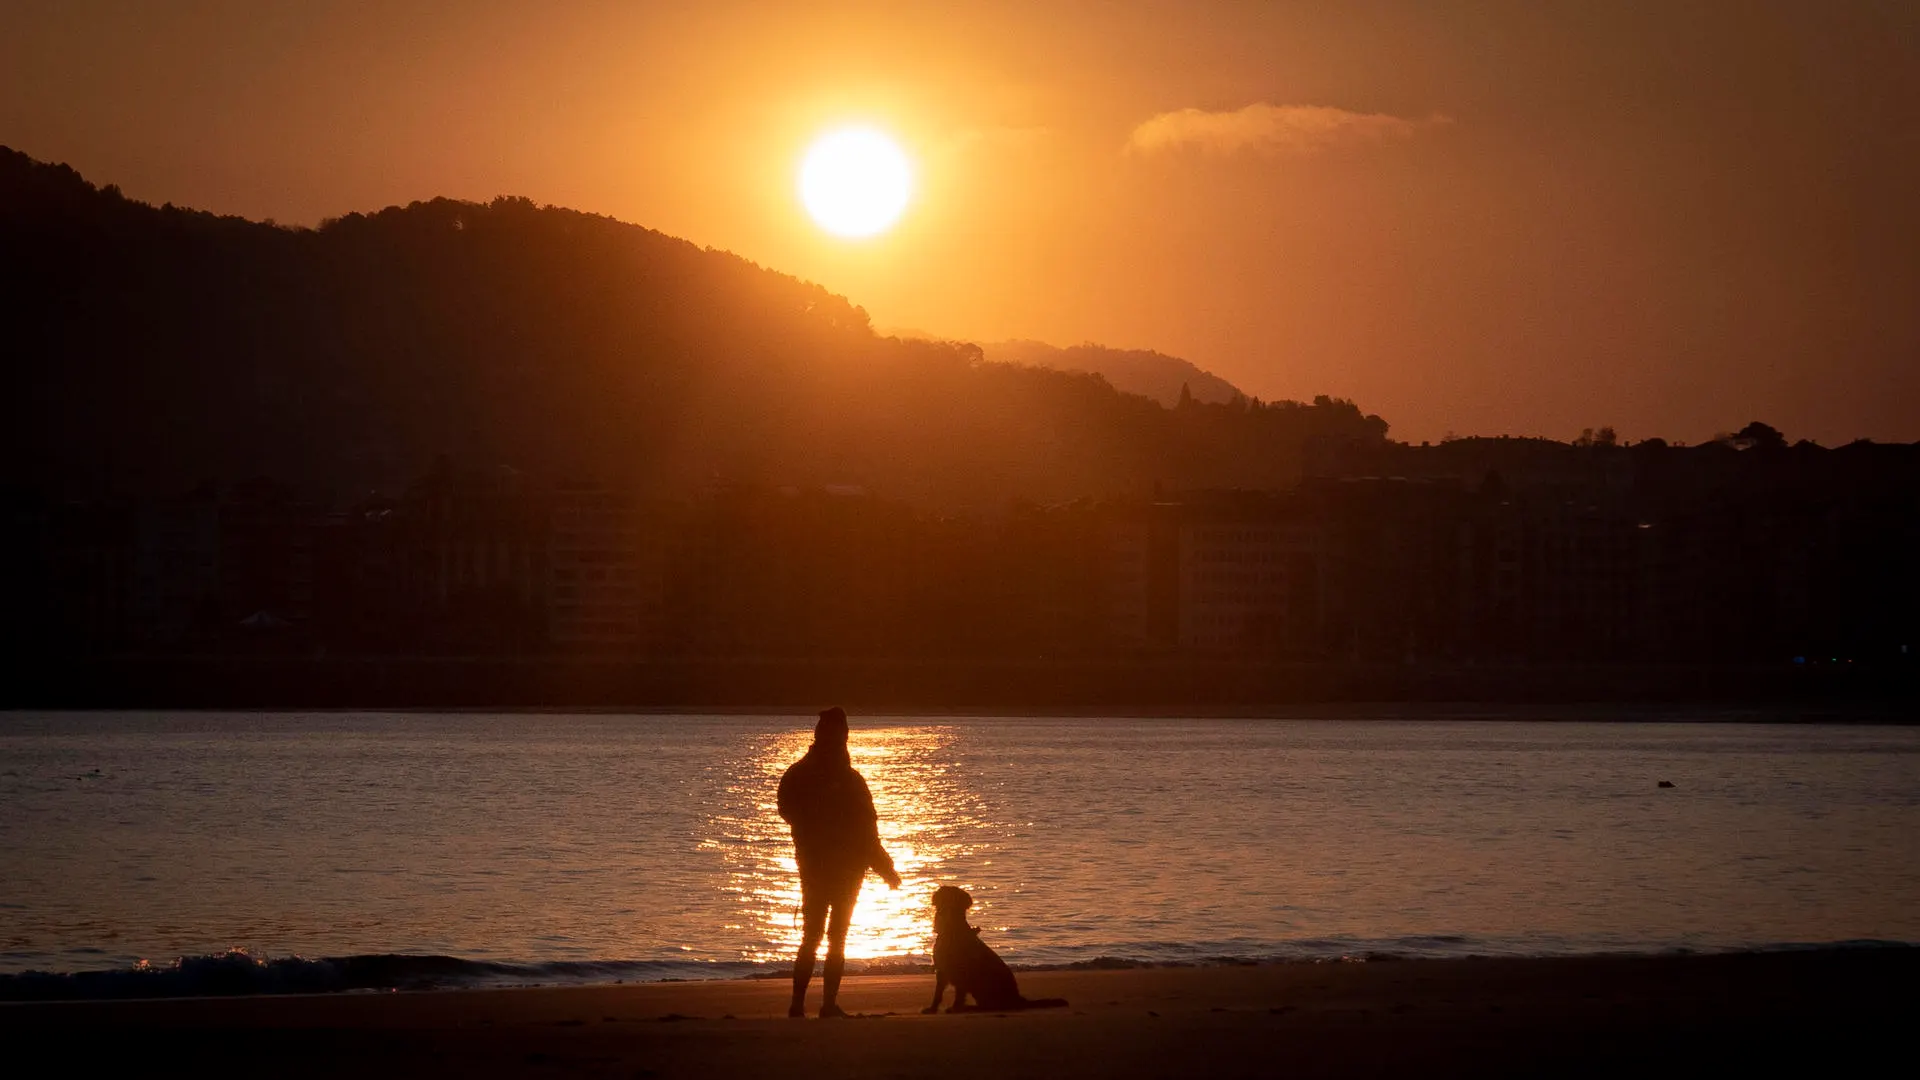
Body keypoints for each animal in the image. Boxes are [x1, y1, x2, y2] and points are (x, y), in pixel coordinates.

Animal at [925, 883, 1075, 1006]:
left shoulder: (961, 970)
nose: (945, 911)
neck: (952, 930)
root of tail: (1017, 999)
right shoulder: (942, 969)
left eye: (953, 899)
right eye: (944, 897)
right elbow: (938, 994)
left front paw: (954, 1008)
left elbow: (959, 994)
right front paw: (932, 1009)